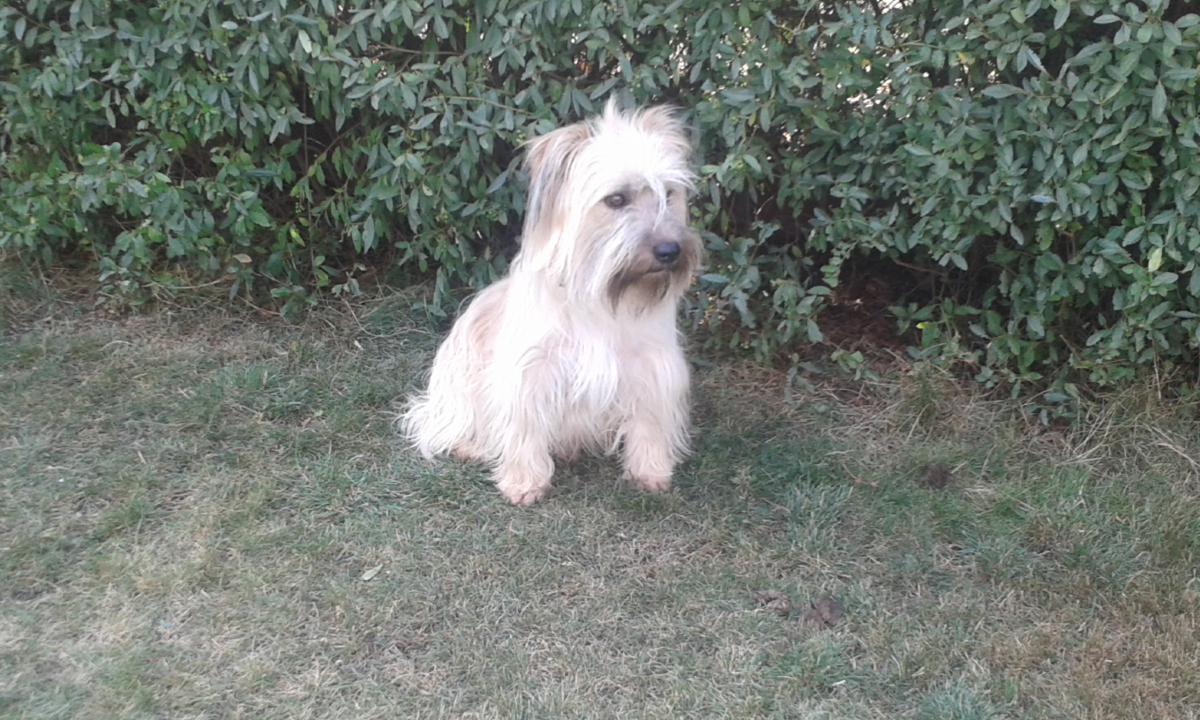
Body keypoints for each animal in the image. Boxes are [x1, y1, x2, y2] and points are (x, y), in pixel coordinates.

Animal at [402, 100, 702, 506]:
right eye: (616, 199)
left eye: (668, 194)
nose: (670, 251)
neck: (599, 293)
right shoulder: (531, 370)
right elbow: (523, 426)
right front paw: (524, 482)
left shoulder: (652, 365)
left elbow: (649, 420)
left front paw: (650, 471)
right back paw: (471, 446)